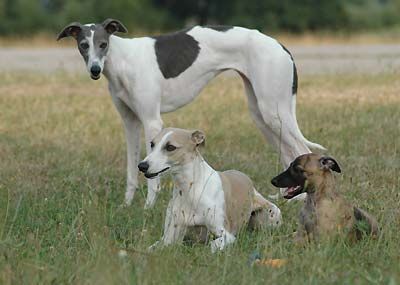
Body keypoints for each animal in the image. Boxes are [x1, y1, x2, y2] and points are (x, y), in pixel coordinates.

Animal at [56, 19, 324, 206]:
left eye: (103, 44)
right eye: (83, 46)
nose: (94, 69)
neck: (122, 60)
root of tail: (281, 46)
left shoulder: (152, 121)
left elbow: (152, 175)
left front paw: (148, 207)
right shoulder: (130, 123)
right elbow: (132, 171)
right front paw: (127, 205)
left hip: (274, 113)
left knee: (302, 149)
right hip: (263, 117)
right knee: (288, 153)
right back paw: (289, 198)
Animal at [138, 127, 282, 252]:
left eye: (170, 147)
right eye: (152, 144)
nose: (142, 166)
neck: (190, 189)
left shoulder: (226, 235)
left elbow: (211, 246)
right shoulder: (169, 237)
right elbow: (152, 248)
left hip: (272, 213)